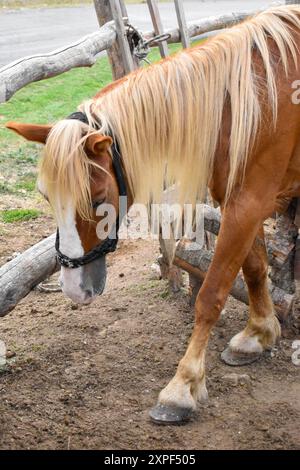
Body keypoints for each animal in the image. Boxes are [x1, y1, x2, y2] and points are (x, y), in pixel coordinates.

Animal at [7, 5, 300, 424]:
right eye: (46, 197)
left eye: (97, 199)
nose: (75, 290)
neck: (247, 101)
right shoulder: (242, 202)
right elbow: (256, 269)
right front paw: (258, 335)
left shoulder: (250, 202)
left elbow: (211, 293)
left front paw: (183, 386)